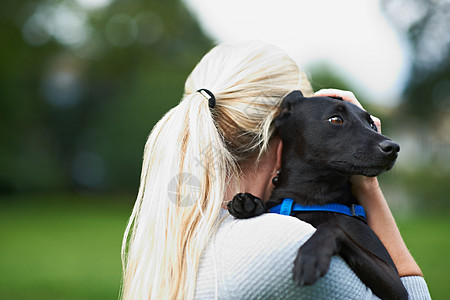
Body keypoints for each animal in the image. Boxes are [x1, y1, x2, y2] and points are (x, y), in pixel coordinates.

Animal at [227, 91, 406, 300]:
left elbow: (332, 228)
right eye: (336, 120)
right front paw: (250, 202)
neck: (312, 197)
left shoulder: (397, 286)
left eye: (371, 124)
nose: (393, 147)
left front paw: (311, 255)